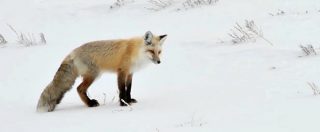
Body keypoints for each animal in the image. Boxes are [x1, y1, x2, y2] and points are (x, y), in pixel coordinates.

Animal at [37, 31, 168, 112]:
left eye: (159, 52)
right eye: (151, 51)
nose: (159, 62)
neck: (135, 52)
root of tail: (72, 52)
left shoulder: (130, 73)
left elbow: (129, 89)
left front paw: (129, 100)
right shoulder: (122, 71)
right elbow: (122, 89)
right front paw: (123, 104)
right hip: (93, 75)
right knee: (79, 89)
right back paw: (90, 104)